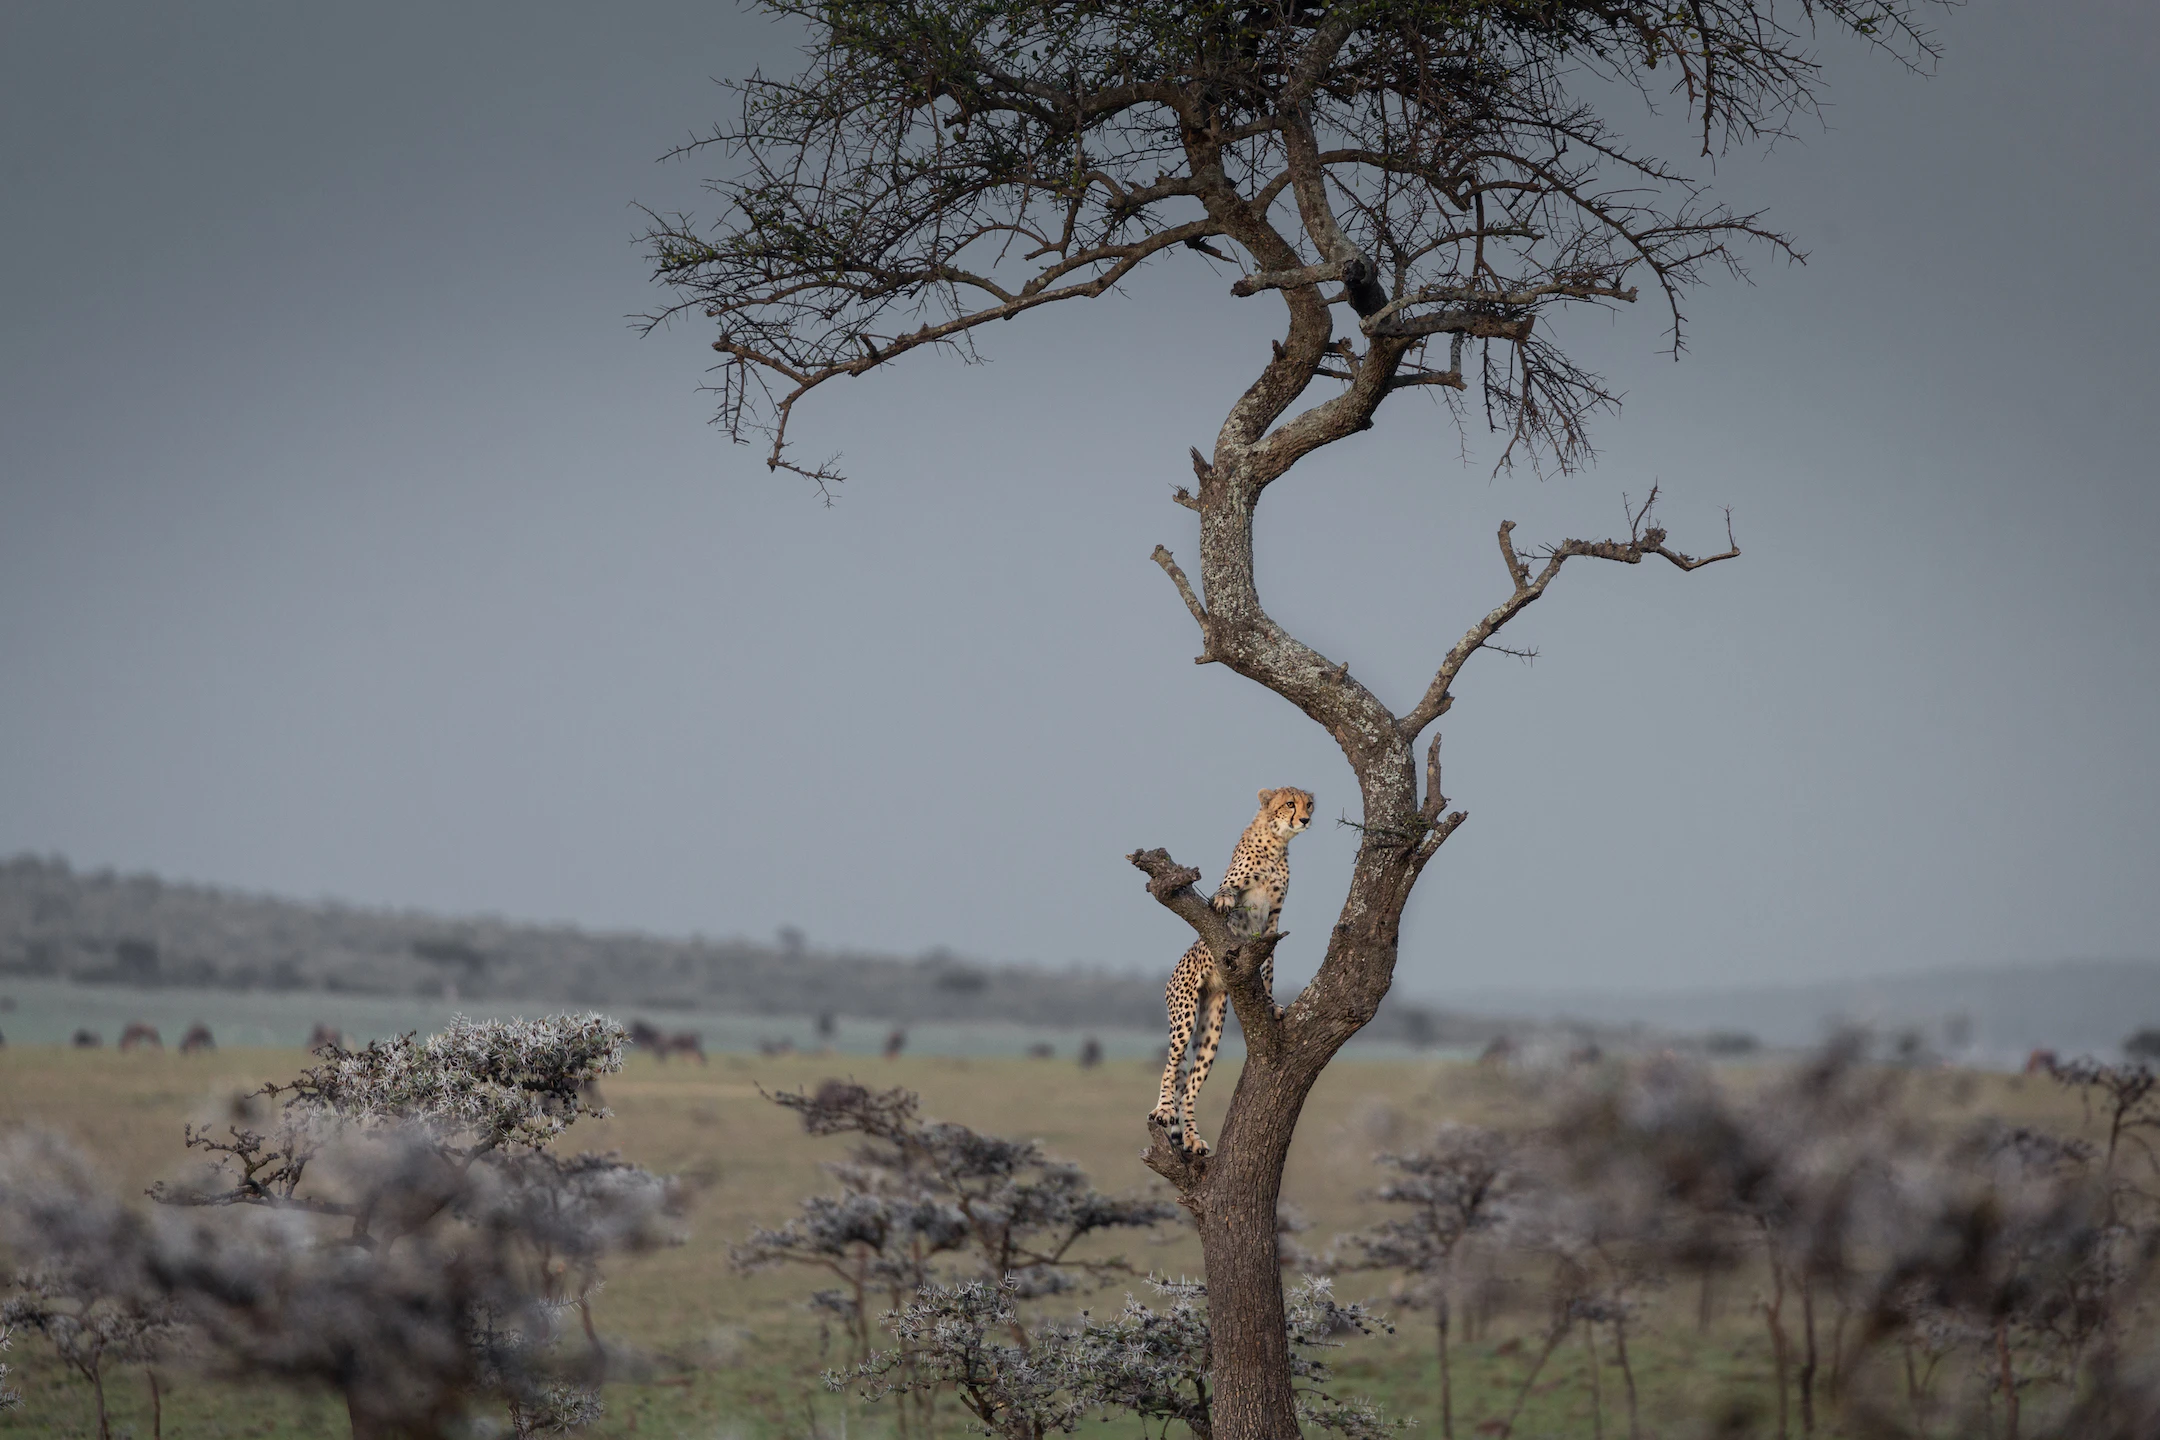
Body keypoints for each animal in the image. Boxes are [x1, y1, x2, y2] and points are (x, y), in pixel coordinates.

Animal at [1149, 786, 1314, 1155]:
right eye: (1289, 804)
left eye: (1309, 804)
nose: (1305, 819)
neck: (1276, 842)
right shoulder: (1235, 884)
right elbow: (1224, 891)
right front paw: (1223, 901)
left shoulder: (1272, 922)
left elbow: (1267, 969)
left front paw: (1270, 1004)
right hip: (1184, 1013)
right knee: (1171, 1065)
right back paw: (1163, 1110)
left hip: (1212, 1026)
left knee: (1190, 1088)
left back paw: (1192, 1137)